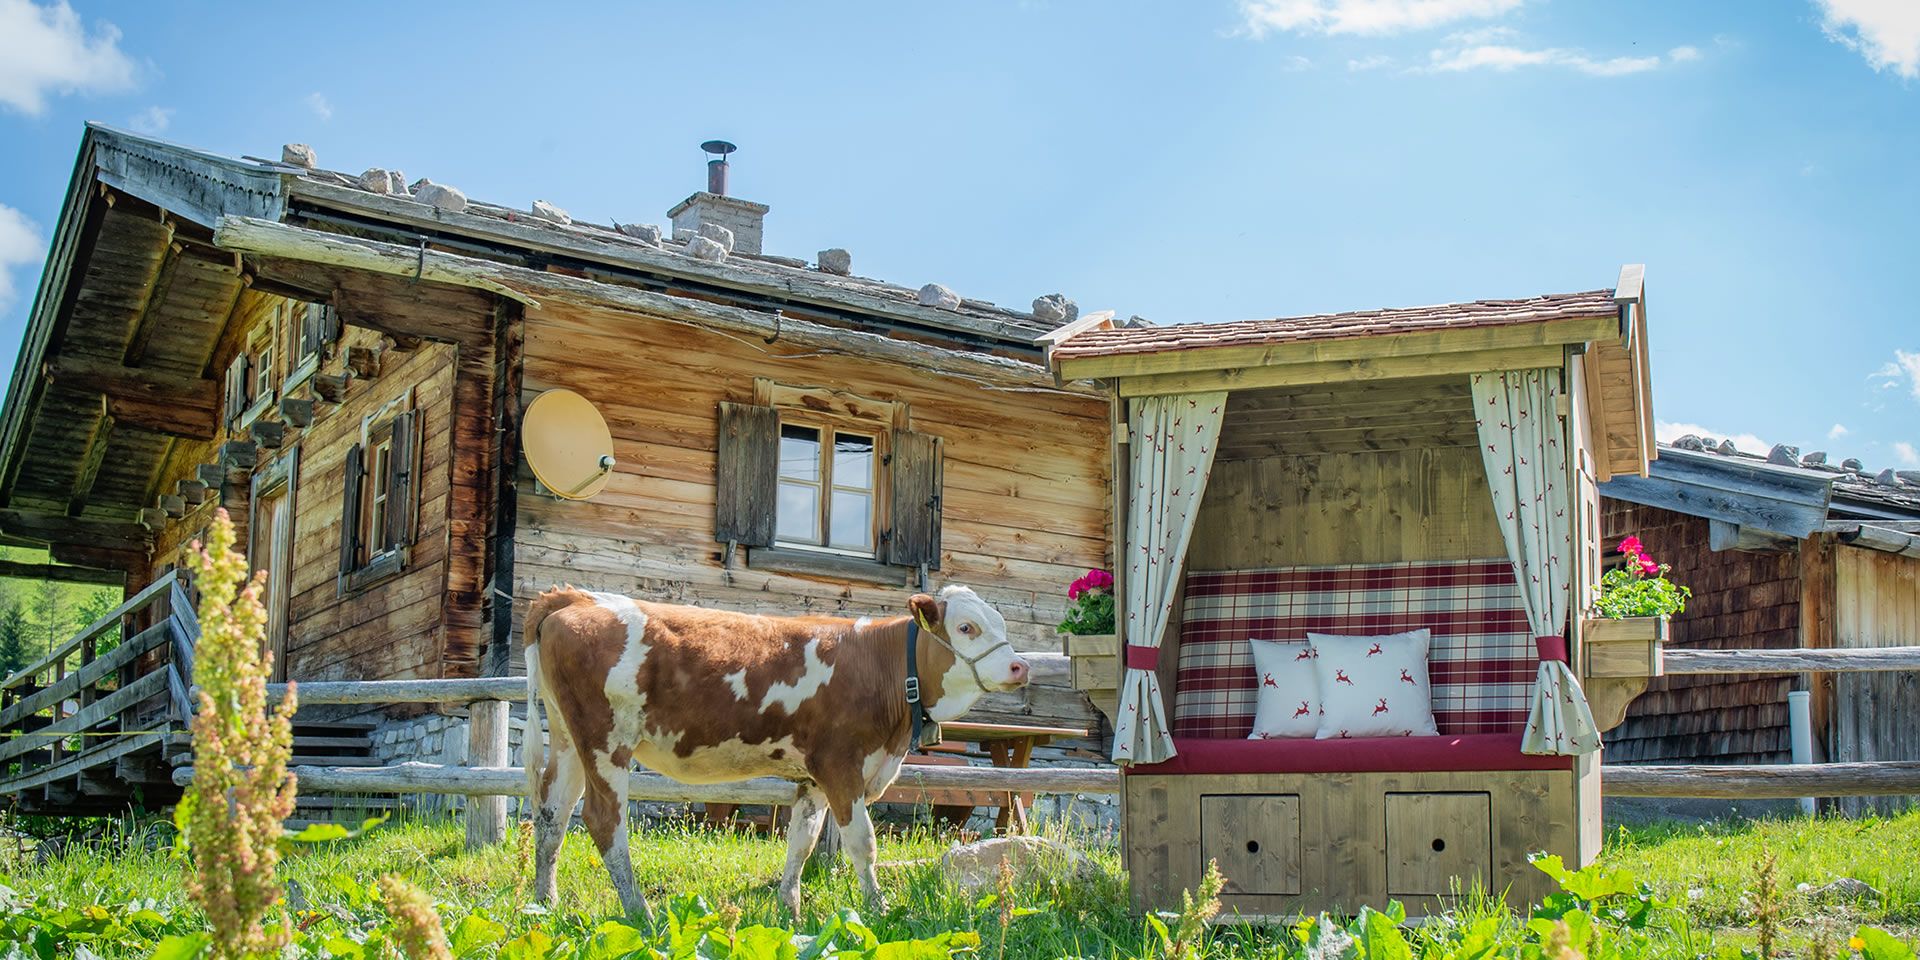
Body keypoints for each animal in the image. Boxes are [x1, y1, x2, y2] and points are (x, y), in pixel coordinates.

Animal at [518, 579, 1029, 917]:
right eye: (966, 628)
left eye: (1001, 623)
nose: (1019, 666)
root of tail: (577, 597)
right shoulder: (842, 767)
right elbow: (862, 844)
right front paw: (879, 909)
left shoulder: (814, 778)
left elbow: (801, 842)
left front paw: (791, 911)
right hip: (606, 740)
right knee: (604, 820)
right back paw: (639, 912)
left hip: (569, 740)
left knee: (552, 815)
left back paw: (545, 903)